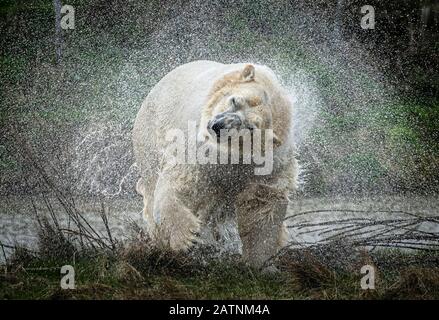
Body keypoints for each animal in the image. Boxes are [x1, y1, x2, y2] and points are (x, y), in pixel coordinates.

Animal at [132, 60, 298, 268]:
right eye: (234, 100)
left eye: (251, 127)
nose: (218, 126)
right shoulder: (197, 148)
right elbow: (182, 183)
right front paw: (187, 237)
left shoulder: (268, 166)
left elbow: (262, 204)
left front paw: (261, 261)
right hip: (150, 135)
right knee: (152, 182)